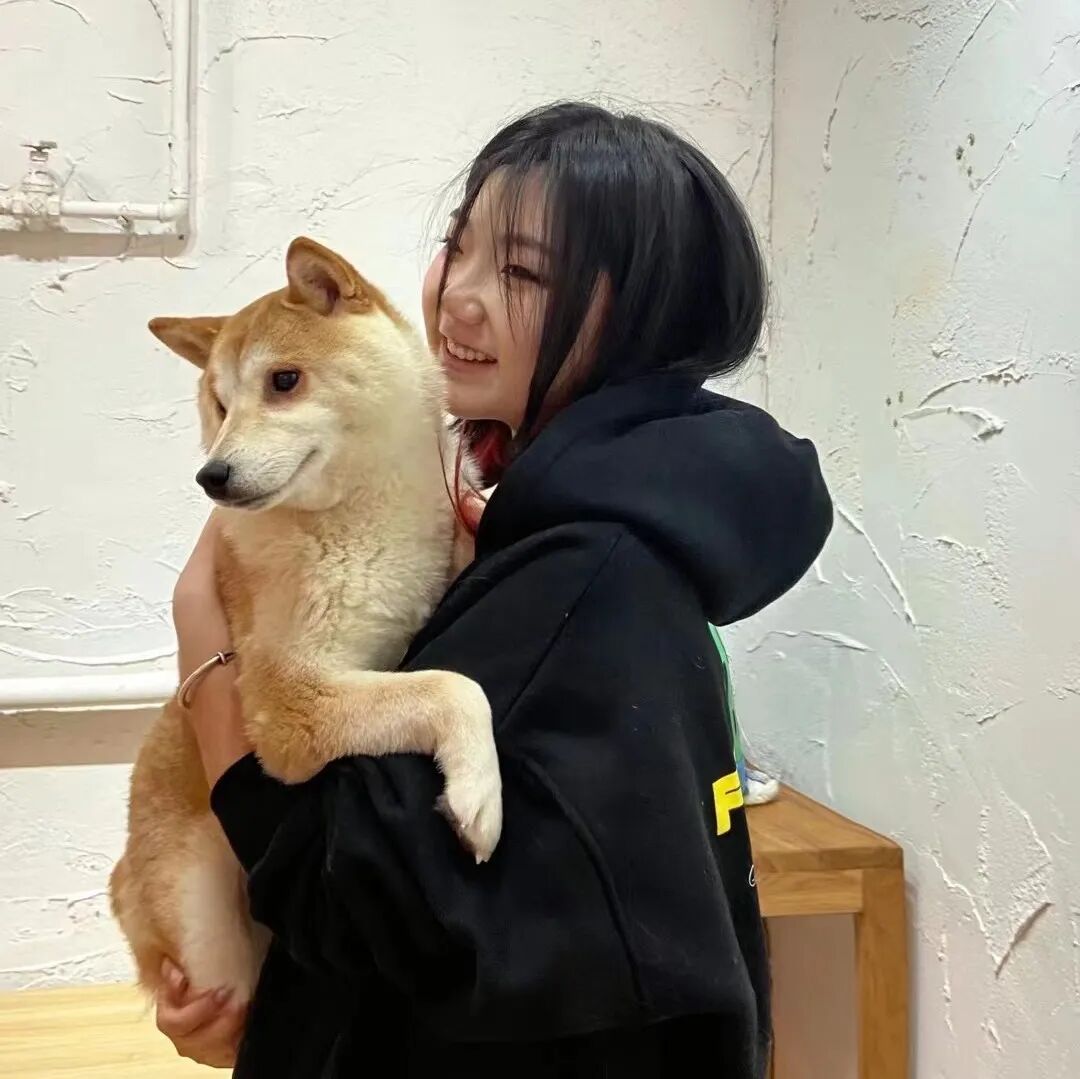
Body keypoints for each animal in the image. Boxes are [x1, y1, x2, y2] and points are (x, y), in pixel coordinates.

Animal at [109, 237, 502, 1009]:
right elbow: (453, 686)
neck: (368, 512)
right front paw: (479, 788)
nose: (212, 476)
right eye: (219, 405)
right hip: (209, 940)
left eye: (284, 381)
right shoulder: (292, 701)